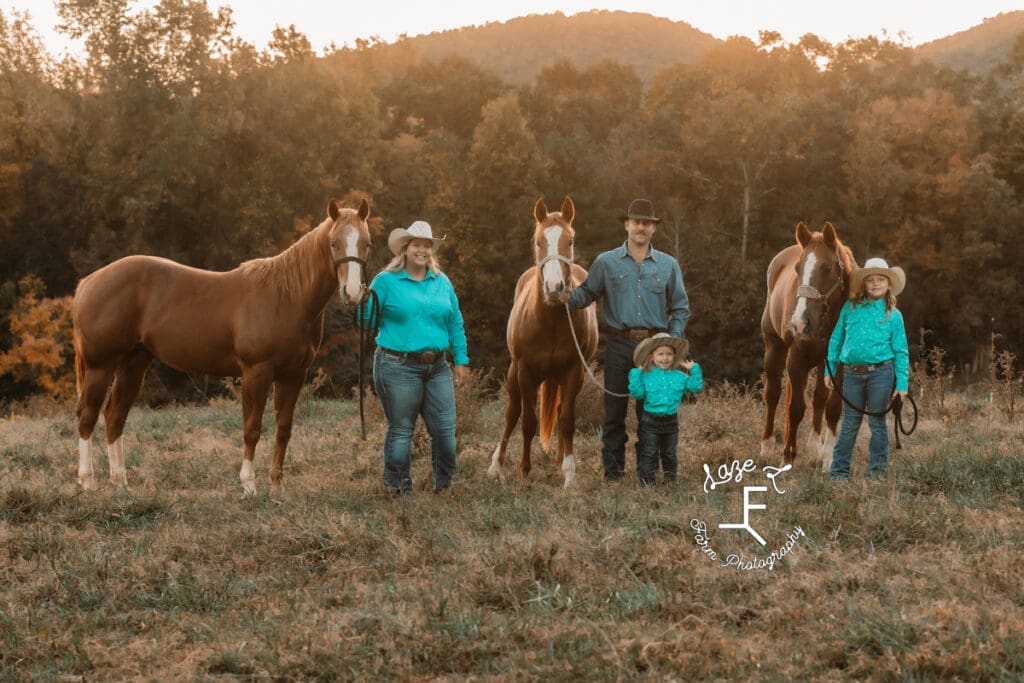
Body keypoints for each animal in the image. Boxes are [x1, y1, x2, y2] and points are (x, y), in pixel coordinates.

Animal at [74, 200, 372, 493]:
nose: (352, 292)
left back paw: (120, 482)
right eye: (333, 243)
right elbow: (252, 428)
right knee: (87, 416)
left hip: (133, 364)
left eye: (366, 243)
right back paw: (88, 482)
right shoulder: (256, 372)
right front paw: (249, 485)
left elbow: (283, 428)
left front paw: (277, 486)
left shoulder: (293, 374)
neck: (286, 297)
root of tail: (89, 282)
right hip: (100, 367)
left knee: (115, 416)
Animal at [487, 194, 598, 489]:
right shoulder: (525, 371)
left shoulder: (573, 372)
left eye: (570, 240)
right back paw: (496, 466)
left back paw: (559, 461)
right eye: (538, 241)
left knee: (559, 413)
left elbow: (567, 420)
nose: (554, 288)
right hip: (514, 373)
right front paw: (524, 470)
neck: (549, 319)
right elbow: (527, 421)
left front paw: (569, 474)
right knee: (512, 413)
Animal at [761, 223, 856, 471]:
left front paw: (829, 458)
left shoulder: (837, 365)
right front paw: (787, 456)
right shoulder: (796, 358)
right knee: (772, 396)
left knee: (819, 399)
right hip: (774, 350)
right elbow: (795, 408)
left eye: (827, 268)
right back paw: (767, 446)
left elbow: (832, 407)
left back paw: (814, 449)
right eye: (798, 268)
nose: (800, 322)